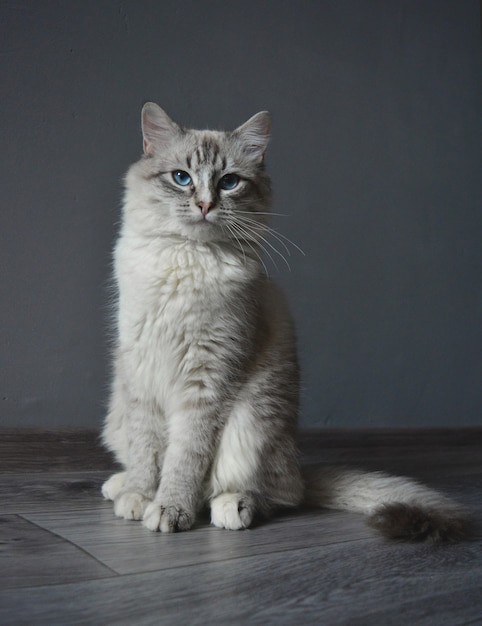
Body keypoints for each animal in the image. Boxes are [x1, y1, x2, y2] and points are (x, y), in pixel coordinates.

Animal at [101, 101, 466, 536]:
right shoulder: (139, 374)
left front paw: (170, 509)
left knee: (274, 495)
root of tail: (299, 468)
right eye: (181, 178)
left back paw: (233, 508)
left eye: (228, 182)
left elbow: (183, 459)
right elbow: (147, 451)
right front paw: (140, 496)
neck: (187, 259)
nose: (205, 205)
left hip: (252, 423)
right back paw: (119, 486)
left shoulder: (206, 383)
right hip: (120, 412)